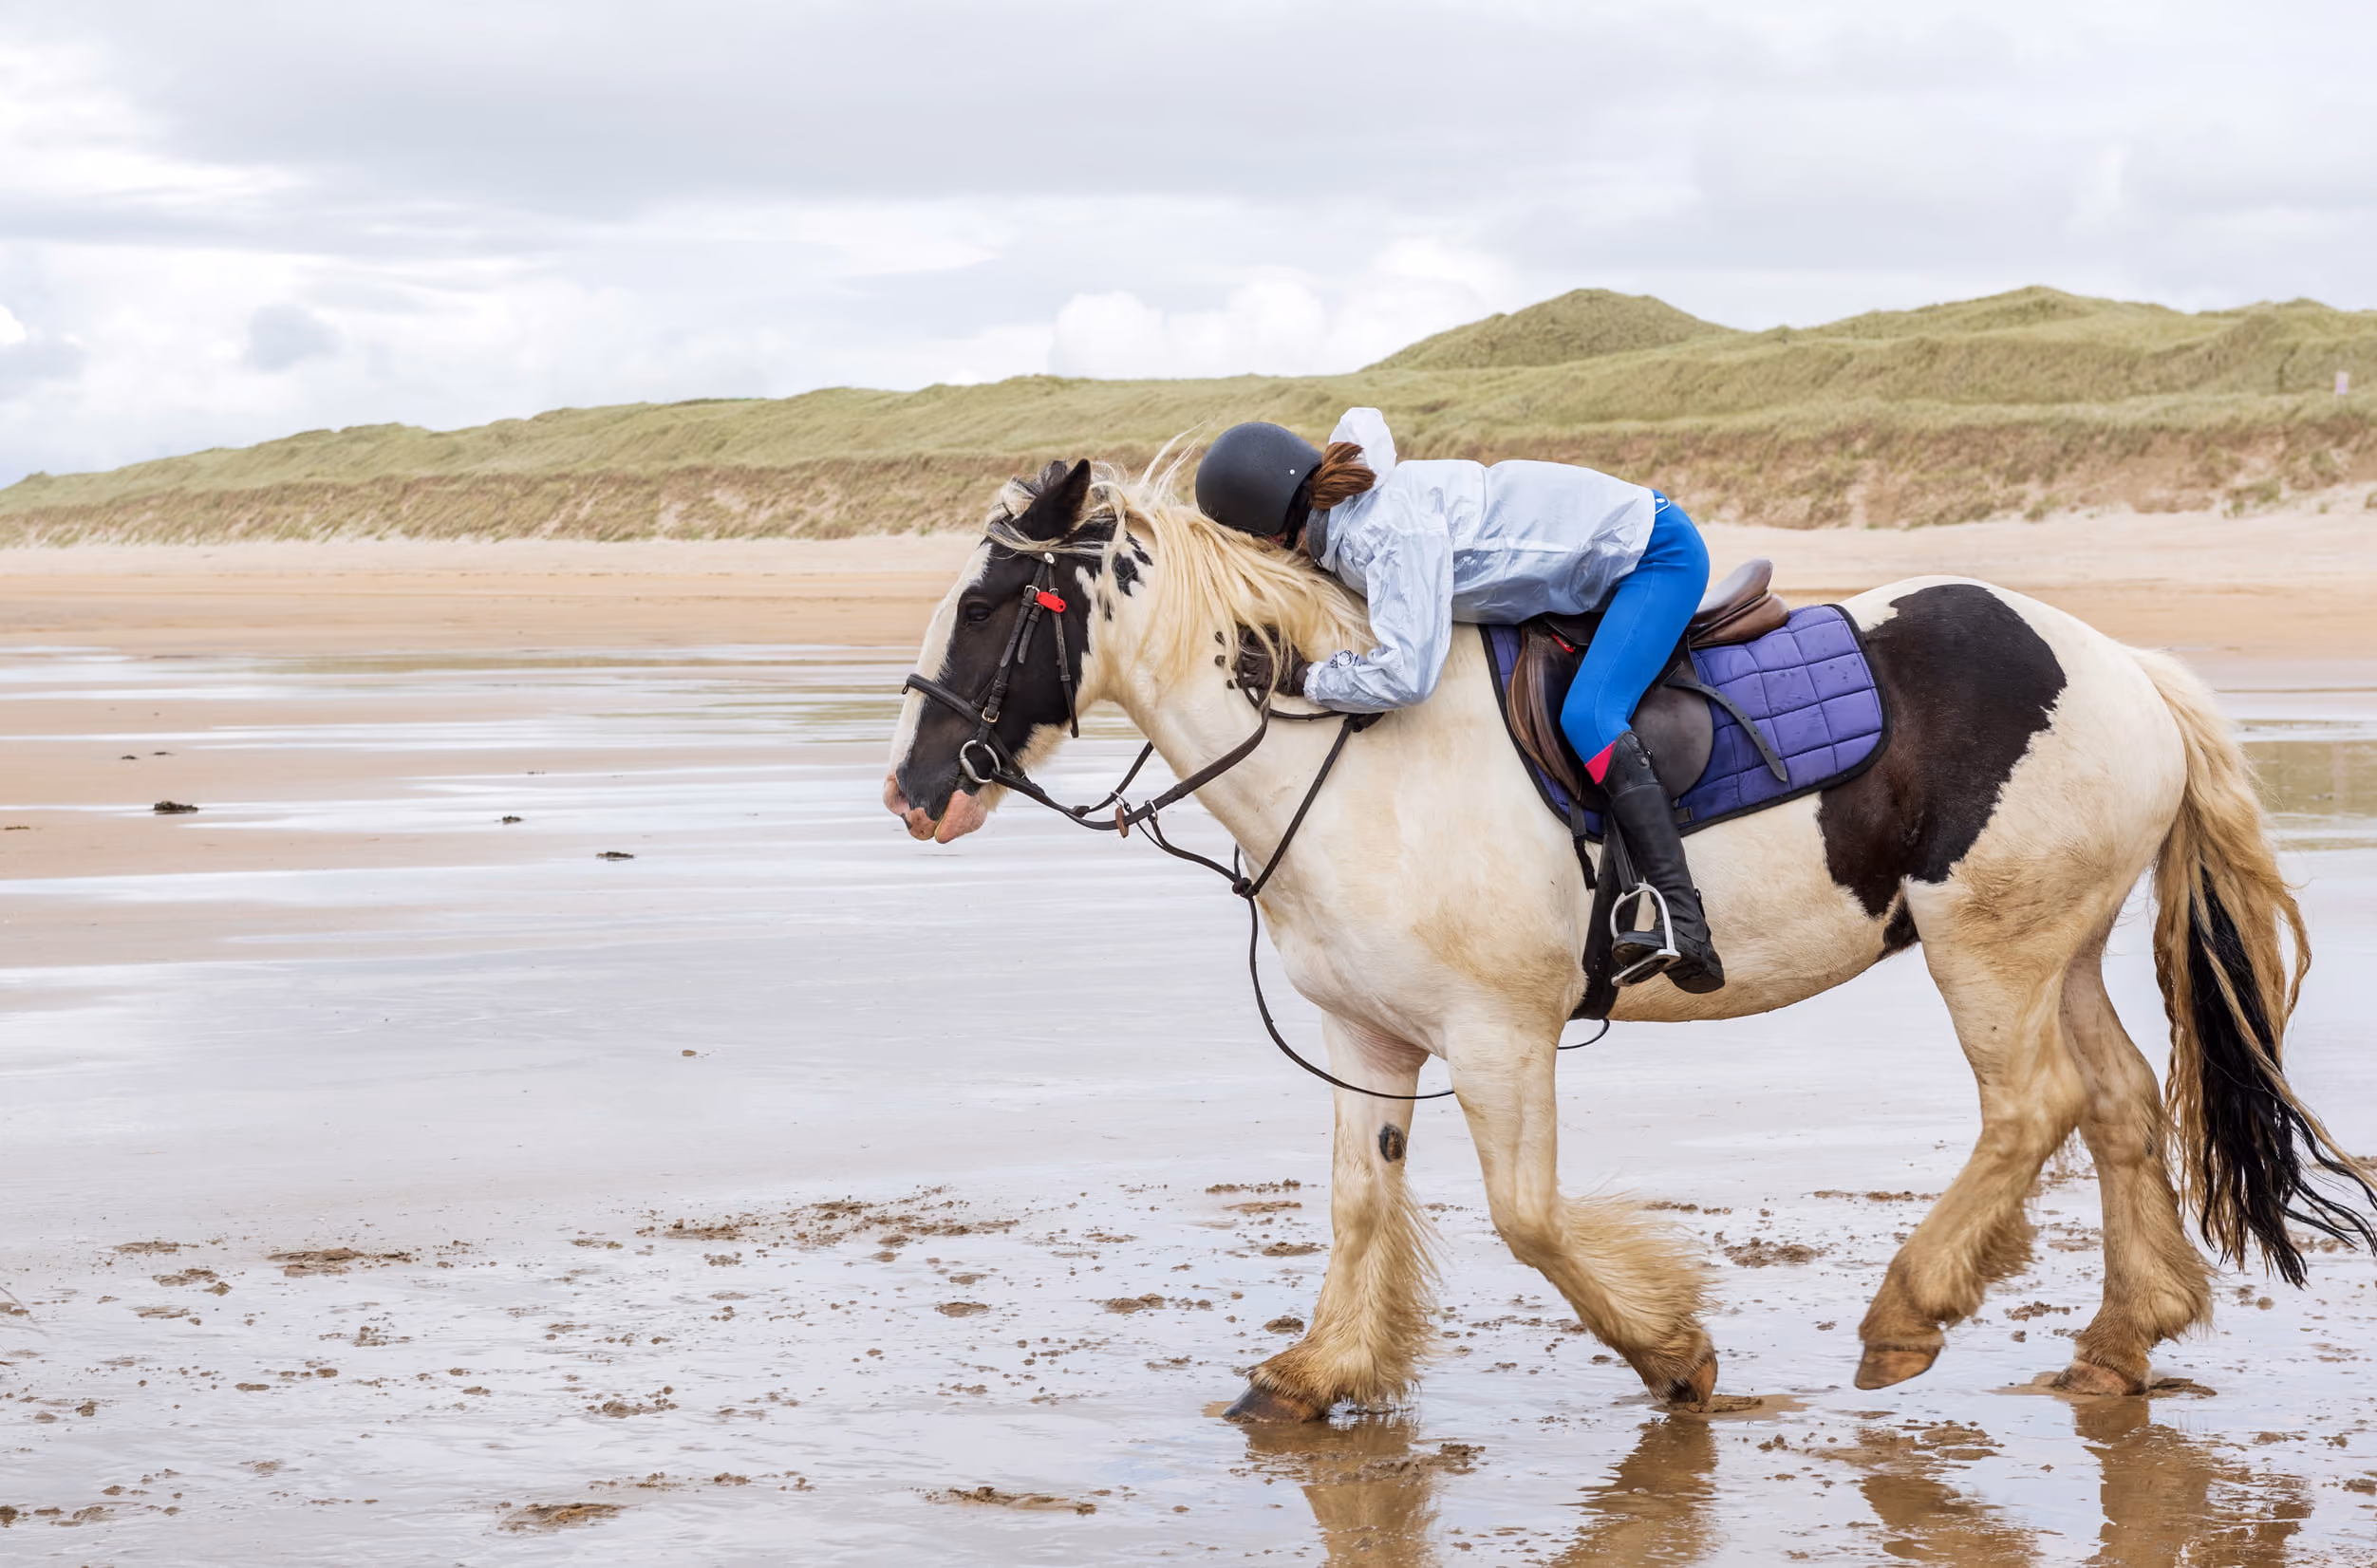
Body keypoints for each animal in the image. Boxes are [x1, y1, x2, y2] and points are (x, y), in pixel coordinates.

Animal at [883, 456, 2373, 1419]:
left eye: (985, 604)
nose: (912, 791)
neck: (1350, 761)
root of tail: (2129, 670)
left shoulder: (1499, 1037)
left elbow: (1528, 1217)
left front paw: (1671, 1352)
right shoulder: (1367, 1032)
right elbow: (1361, 1198)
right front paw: (1317, 1374)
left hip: (1988, 955)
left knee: (2034, 1107)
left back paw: (1906, 1314)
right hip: (2054, 941)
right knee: (2118, 1102)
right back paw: (2122, 1342)